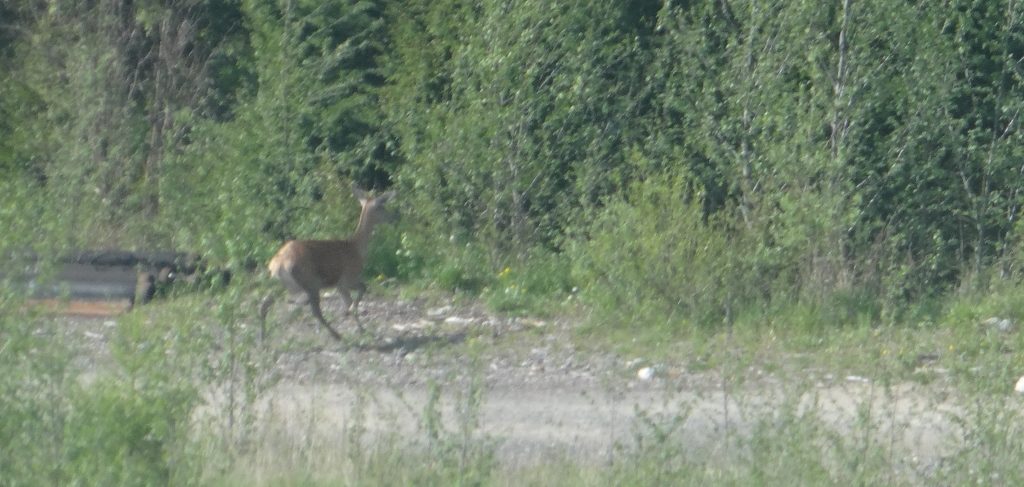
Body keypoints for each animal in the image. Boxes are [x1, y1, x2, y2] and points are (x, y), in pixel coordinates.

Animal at [259, 186, 397, 341]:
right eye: (381, 206)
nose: (394, 217)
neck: (356, 248)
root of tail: (278, 265)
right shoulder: (347, 278)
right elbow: (361, 291)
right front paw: (360, 327)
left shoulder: (339, 285)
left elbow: (349, 301)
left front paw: (359, 326)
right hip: (310, 282)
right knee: (315, 311)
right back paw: (336, 335)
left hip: (282, 284)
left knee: (264, 304)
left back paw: (262, 339)